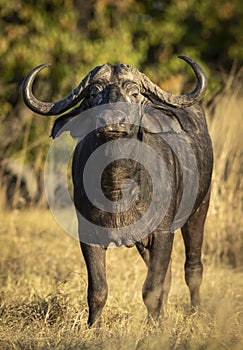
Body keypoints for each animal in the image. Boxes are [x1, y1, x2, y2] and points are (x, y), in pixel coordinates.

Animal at [22, 56, 213, 326]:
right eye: (94, 93)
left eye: (134, 93)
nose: (112, 120)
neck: (118, 187)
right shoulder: (89, 236)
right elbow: (98, 290)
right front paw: (94, 328)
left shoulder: (163, 233)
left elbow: (151, 290)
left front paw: (155, 328)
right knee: (168, 275)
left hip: (200, 208)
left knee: (193, 267)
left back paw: (197, 313)